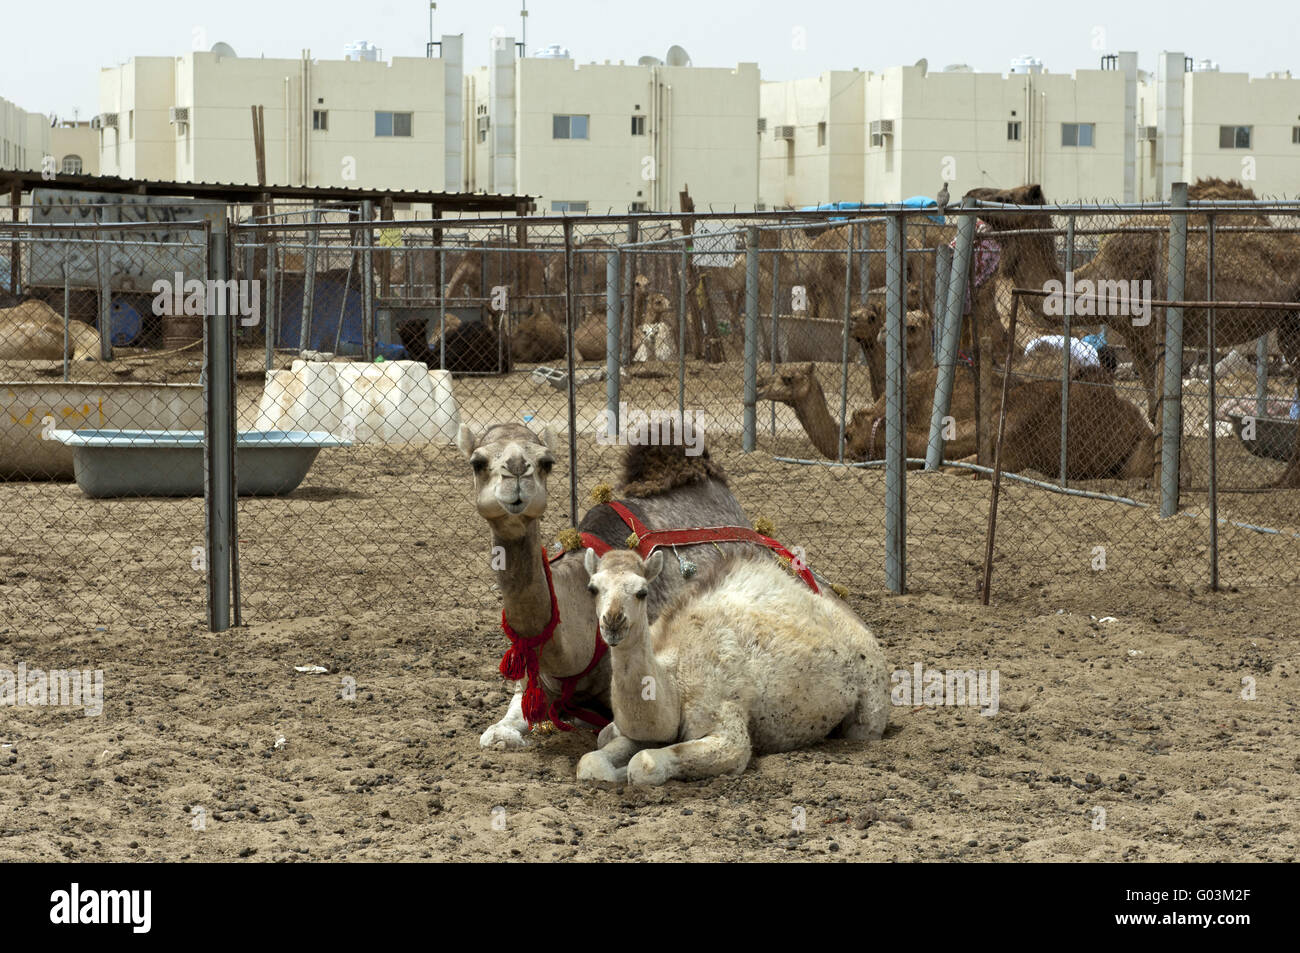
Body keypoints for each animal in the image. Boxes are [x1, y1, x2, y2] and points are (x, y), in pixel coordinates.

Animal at [577, 546, 889, 785]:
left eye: (642, 591)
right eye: (593, 588)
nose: (613, 621)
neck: (674, 678)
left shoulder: (727, 725)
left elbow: (643, 764)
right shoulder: (641, 731)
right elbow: (592, 758)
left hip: (870, 702)